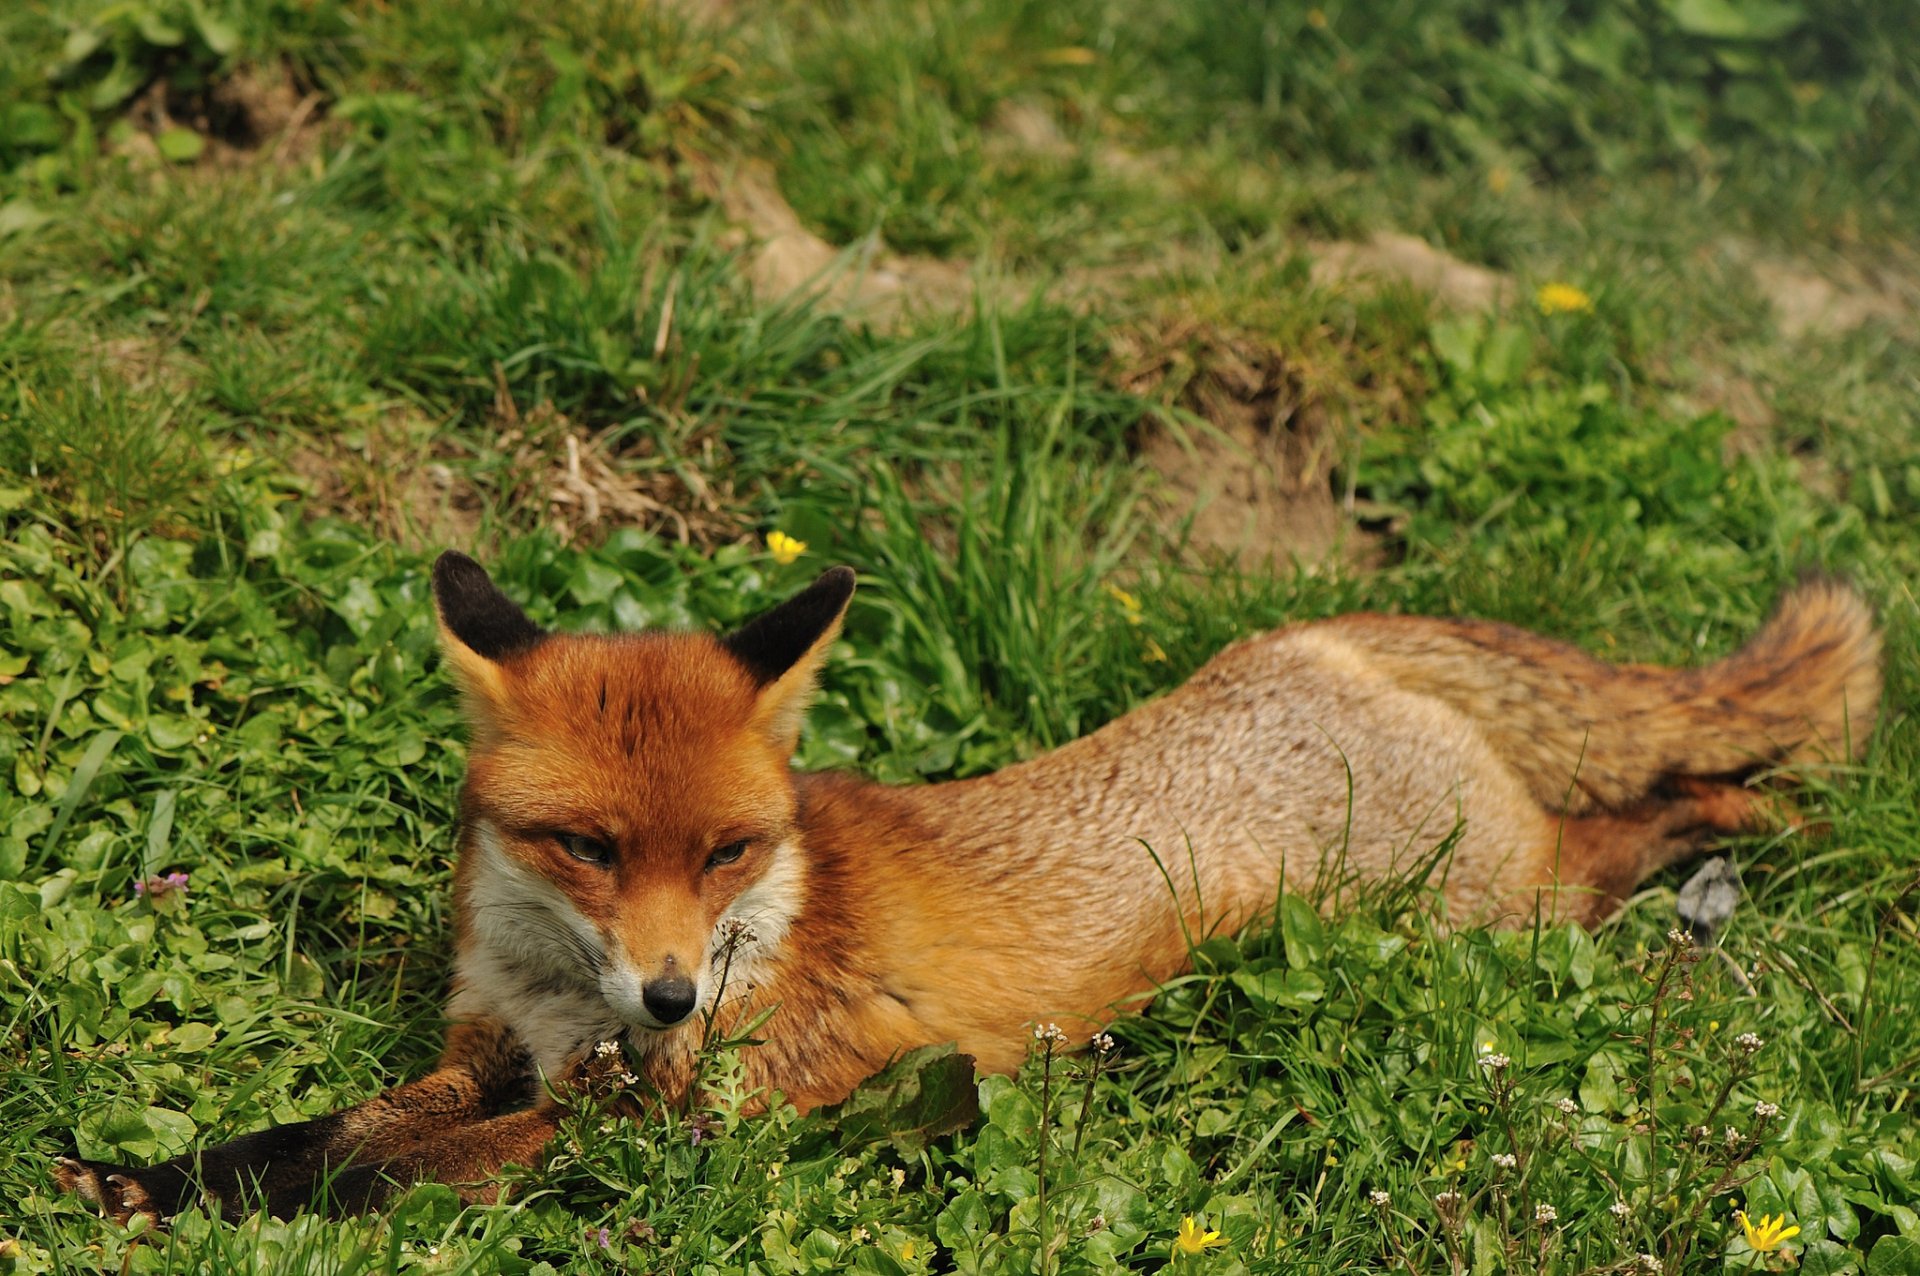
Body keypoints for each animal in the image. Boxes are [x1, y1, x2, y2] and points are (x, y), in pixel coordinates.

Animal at [57, 553, 1880, 1223]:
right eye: (589, 847)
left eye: (726, 849)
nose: (671, 993)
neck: (566, 1003)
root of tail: (1310, 639)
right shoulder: (485, 1057)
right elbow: (331, 1137)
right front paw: (144, 1178)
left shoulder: (685, 1124)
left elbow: (387, 1175)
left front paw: (197, 1205)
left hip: (1481, 917)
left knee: (1633, 832)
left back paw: (1755, 835)